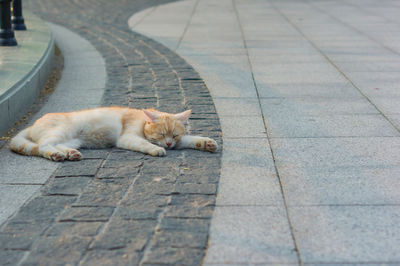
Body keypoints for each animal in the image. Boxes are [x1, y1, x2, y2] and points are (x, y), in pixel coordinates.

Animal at [9, 107, 217, 161]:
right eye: (160, 134)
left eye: (174, 136)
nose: (168, 144)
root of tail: (32, 124)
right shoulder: (128, 137)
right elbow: (145, 144)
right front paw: (156, 149)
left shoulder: (180, 142)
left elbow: (191, 139)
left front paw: (206, 143)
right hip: (60, 132)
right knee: (42, 146)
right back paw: (56, 155)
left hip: (72, 140)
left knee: (53, 145)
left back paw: (70, 154)